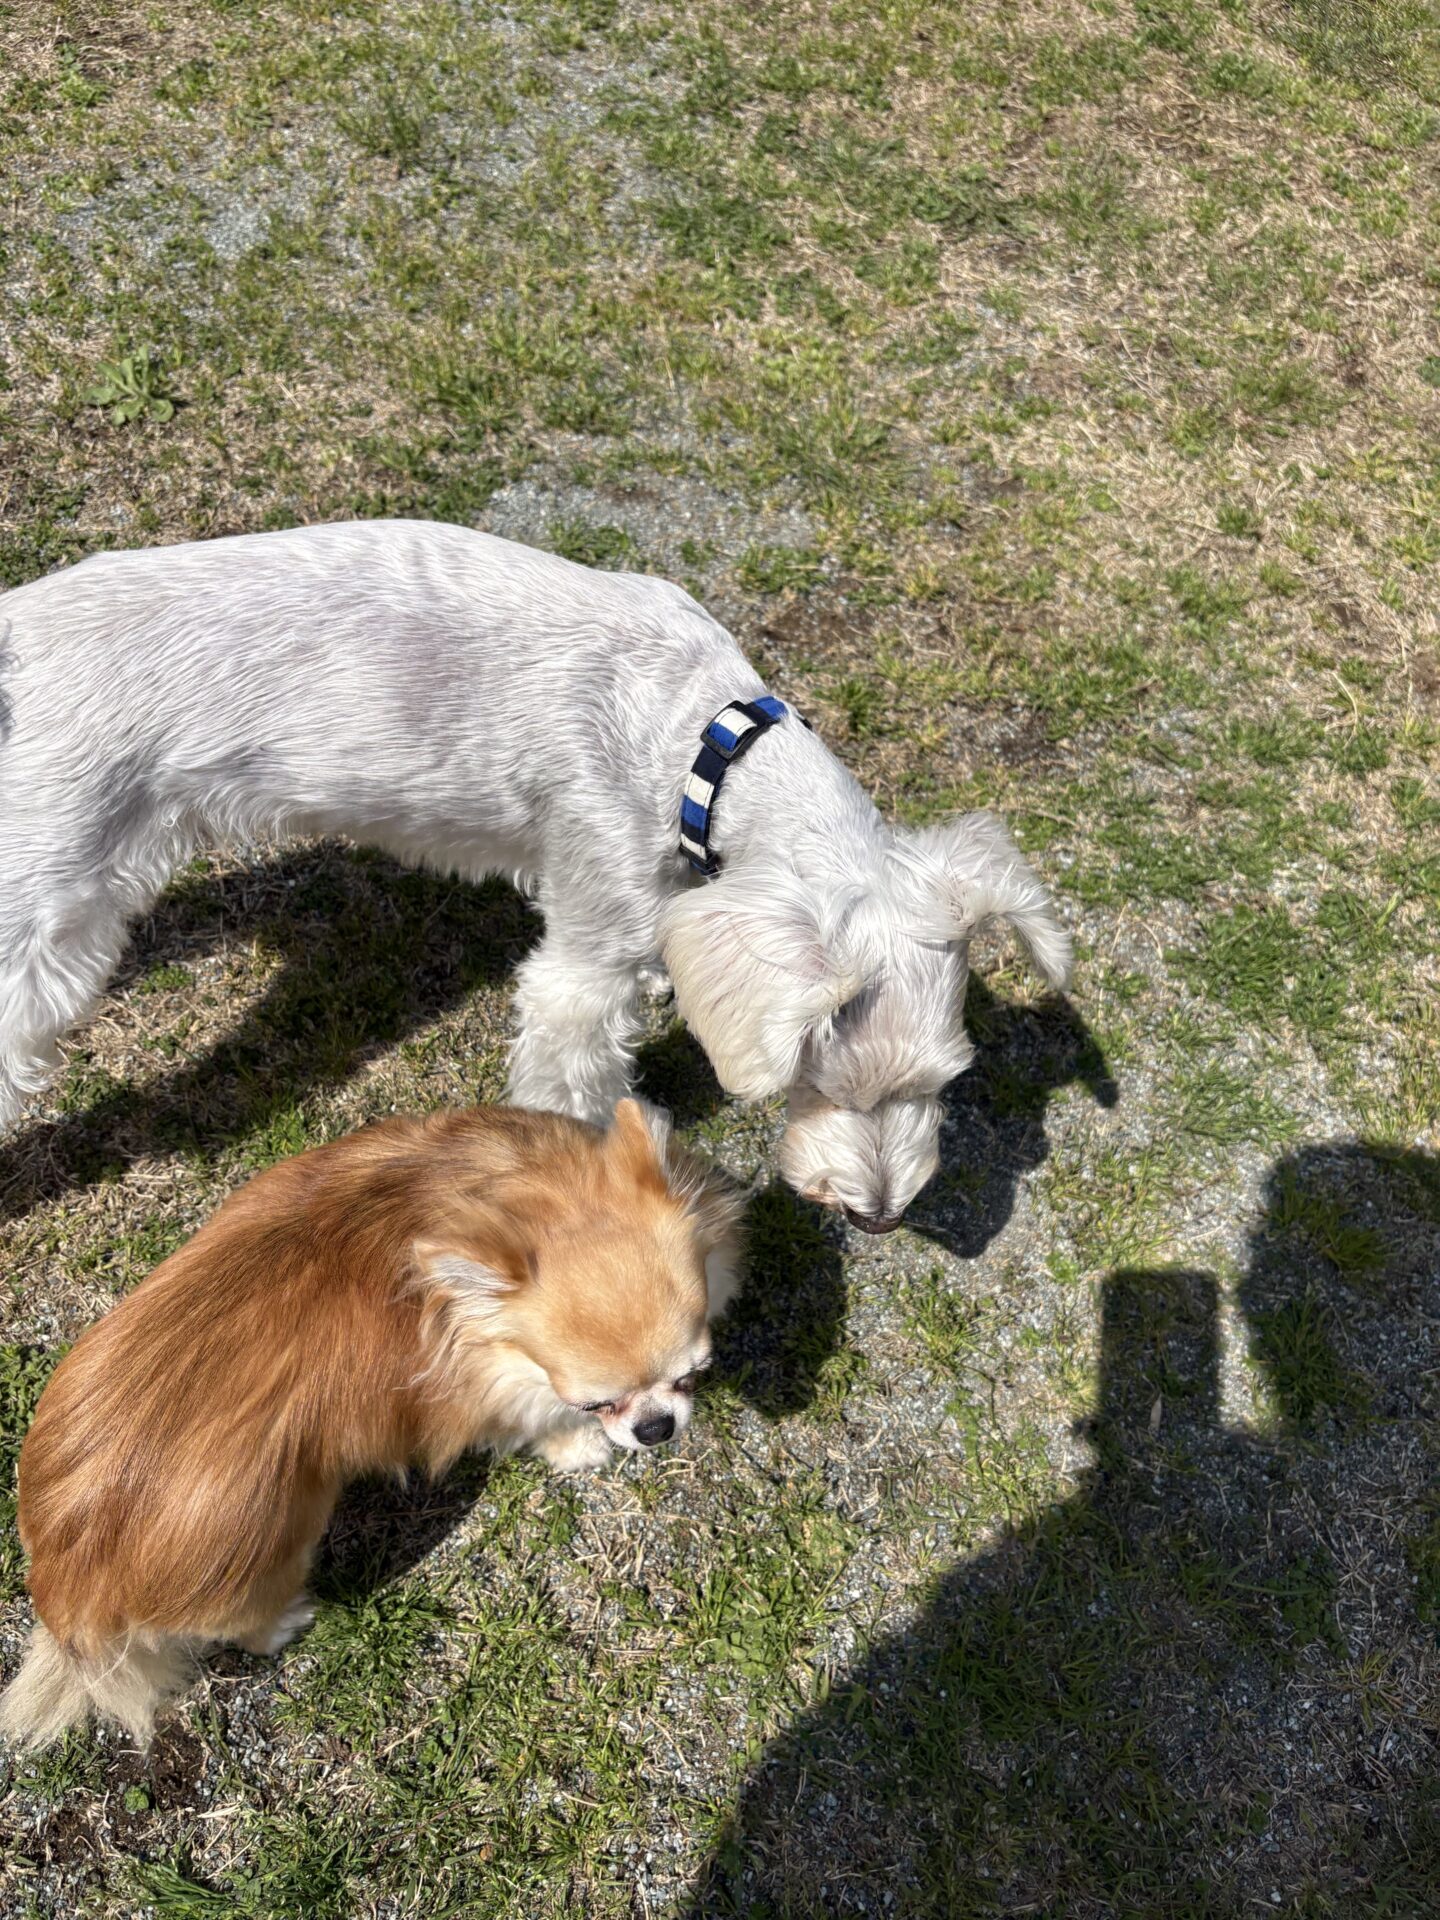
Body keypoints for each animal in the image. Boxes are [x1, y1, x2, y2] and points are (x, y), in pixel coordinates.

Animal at [0, 519, 1071, 1229]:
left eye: (945, 1081)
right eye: (823, 1081)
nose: (880, 1215)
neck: (709, 748)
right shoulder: (587, 958)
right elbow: (575, 1076)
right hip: (45, 897)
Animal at [0, 1098, 741, 1747]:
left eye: (692, 1372)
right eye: (596, 1403)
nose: (657, 1428)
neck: (488, 1188)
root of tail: (67, 1578)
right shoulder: (487, 1388)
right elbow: (531, 1420)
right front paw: (576, 1446)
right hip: (275, 1542)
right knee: (241, 1619)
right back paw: (284, 1624)